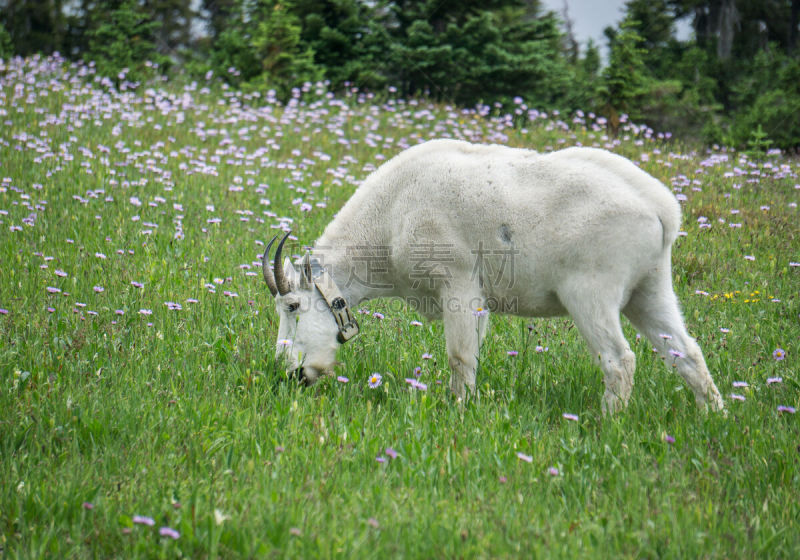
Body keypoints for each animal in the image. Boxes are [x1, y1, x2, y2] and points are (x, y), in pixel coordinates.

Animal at [260, 138, 724, 414]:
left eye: (294, 305)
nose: (292, 373)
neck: (391, 216)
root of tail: (662, 210)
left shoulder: (456, 282)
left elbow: (460, 356)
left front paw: (459, 410)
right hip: (650, 288)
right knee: (686, 352)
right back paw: (713, 414)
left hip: (591, 292)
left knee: (619, 359)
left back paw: (606, 421)